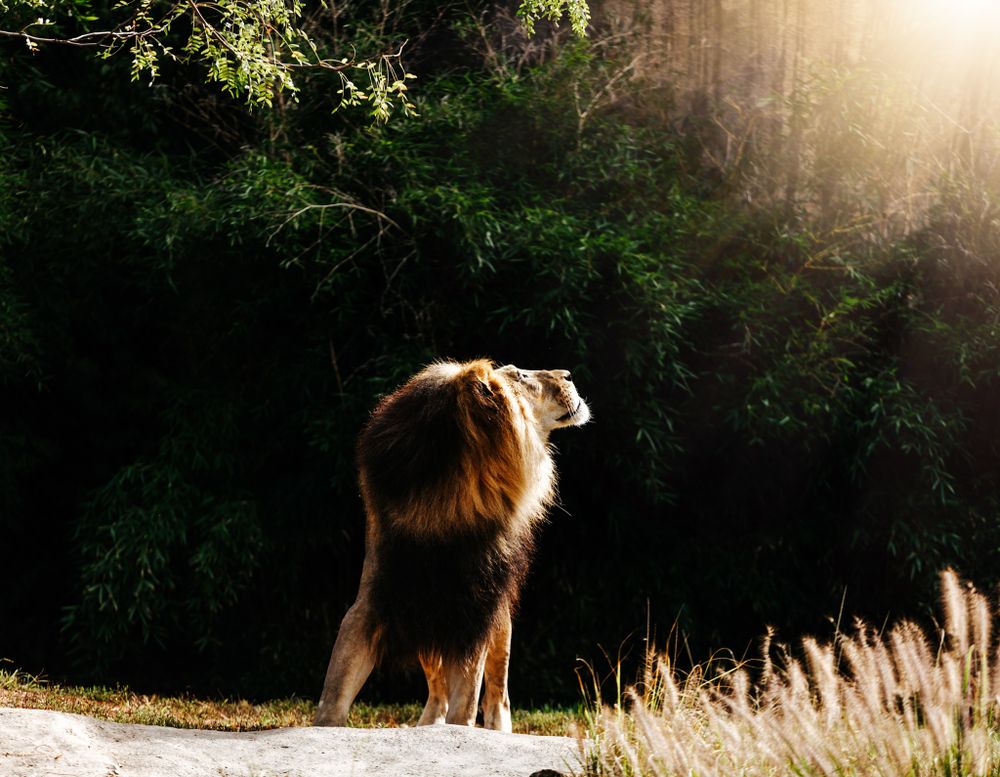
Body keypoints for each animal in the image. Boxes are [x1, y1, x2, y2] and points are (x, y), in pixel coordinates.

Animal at [313, 359, 589, 731]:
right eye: (520, 376)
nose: (568, 375)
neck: (443, 505)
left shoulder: (476, 613)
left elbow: (467, 701)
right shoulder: (376, 600)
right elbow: (338, 682)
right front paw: (325, 724)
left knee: (497, 689)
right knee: (437, 688)